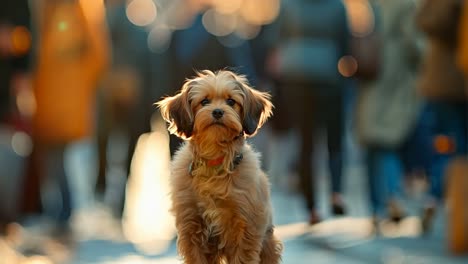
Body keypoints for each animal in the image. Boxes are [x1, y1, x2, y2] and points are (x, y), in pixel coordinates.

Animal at [156, 69, 282, 262]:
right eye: (204, 102)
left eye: (231, 101)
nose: (217, 112)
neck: (214, 162)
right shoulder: (191, 227)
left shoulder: (245, 230)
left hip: (268, 245)